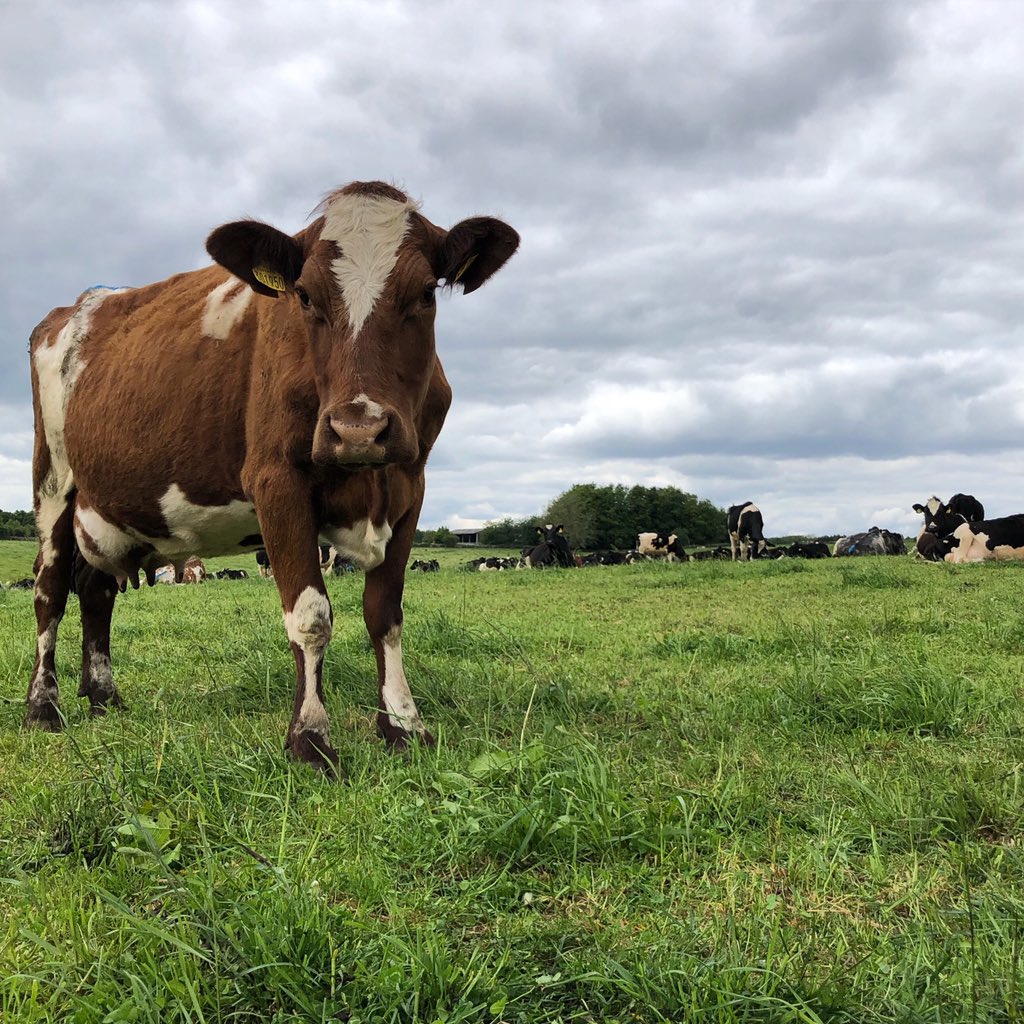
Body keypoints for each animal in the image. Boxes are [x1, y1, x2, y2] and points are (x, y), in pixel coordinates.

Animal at [25, 180, 518, 775]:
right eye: (303, 296)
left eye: (426, 293)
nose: (358, 429)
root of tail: (76, 306)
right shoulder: (276, 481)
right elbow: (310, 616)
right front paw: (310, 738)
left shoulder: (410, 484)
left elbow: (385, 614)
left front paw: (403, 724)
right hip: (54, 479)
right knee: (50, 590)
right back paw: (43, 707)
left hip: (107, 505)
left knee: (96, 589)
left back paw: (103, 698)